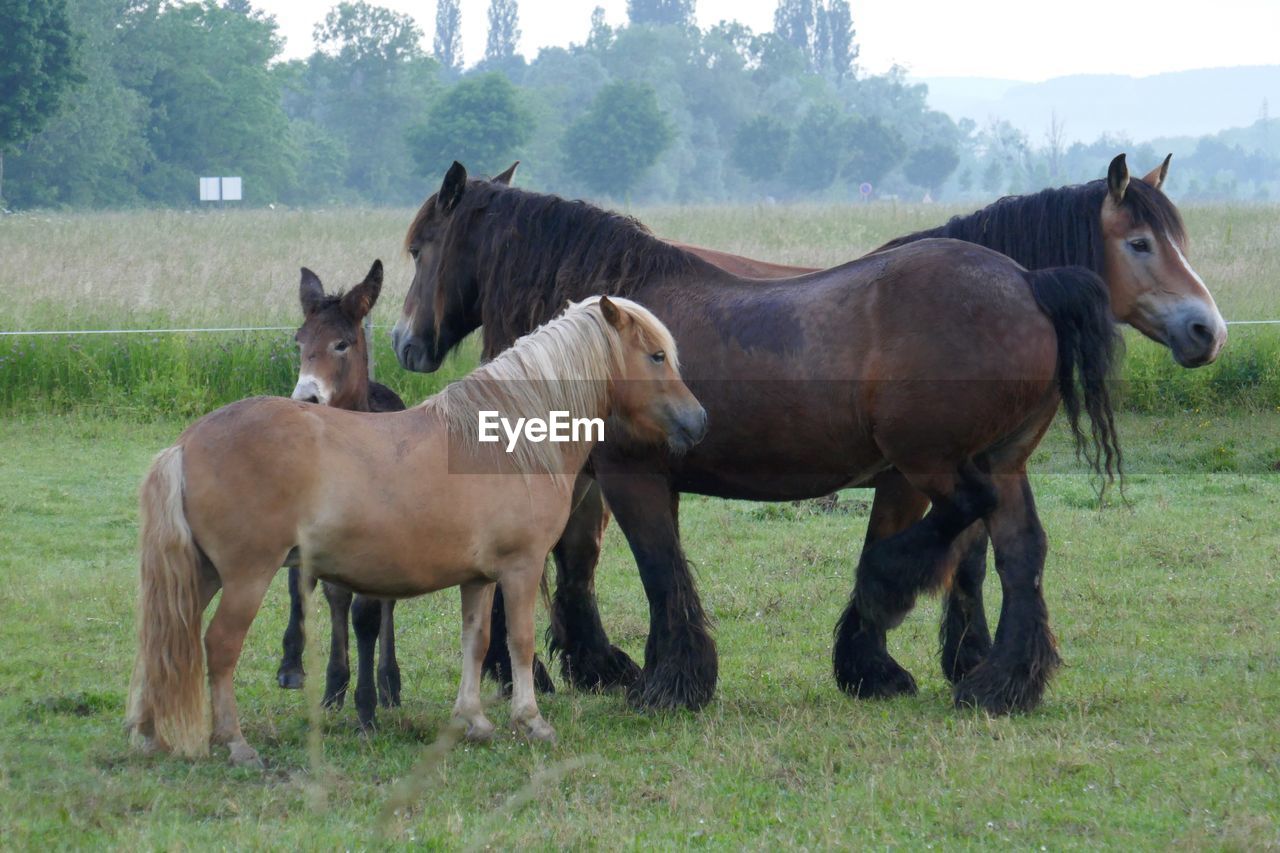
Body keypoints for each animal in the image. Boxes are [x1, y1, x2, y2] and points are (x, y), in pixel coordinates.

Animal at [127, 294, 711, 763]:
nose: (698, 420)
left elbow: (476, 642)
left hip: (201, 574)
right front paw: (531, 721)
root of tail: (186, 444)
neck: (509, 439)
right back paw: (234, 743)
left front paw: (473, 721)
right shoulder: (520, 569)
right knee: (219, 645)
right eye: (656, 356)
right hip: (246, 577)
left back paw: (148, 734)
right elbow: (519, 642)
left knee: (162, 637)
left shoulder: (479, 578)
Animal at [394, 157, 1223, 712]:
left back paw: (914, 606)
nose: (406, 342)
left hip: (937, 458)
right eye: (1141, 242)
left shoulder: (636, 475)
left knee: (975, 519)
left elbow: (661, 571)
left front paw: (674, 683)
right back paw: (1003, 683)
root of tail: (1028, 282)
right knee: (1019, 549)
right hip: (990, 460)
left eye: (420, 247)